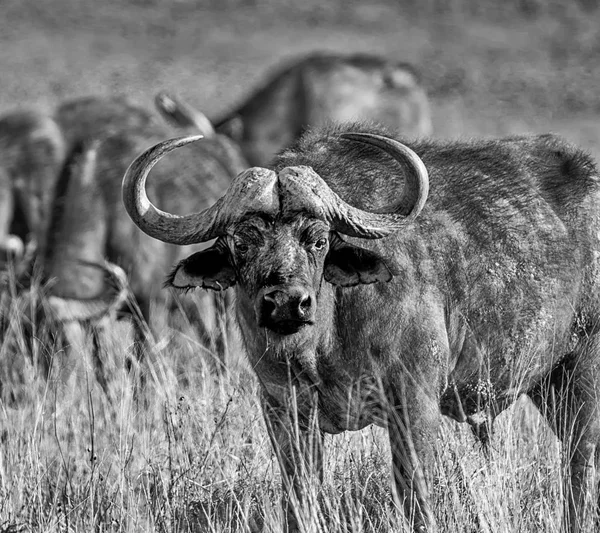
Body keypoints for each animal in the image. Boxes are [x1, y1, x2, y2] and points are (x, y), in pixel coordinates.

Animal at [120, 125, 600, 532]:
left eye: (318, 240)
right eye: (242, 242)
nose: (286, 303)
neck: (323, 347)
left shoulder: (414, 403)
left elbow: (417, 500)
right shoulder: (284, 412)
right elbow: (300, 500)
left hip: (583, 376)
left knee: (580, 467)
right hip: (548, 385)